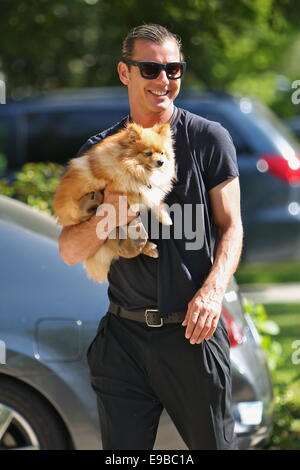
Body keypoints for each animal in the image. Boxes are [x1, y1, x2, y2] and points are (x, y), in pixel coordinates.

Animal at [53, 122, 176, 282]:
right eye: (148, 153)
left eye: (162, 153)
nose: (161, 162)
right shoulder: (119, 185)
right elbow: (138, 195)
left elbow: (156, 201)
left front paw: (165, 218)